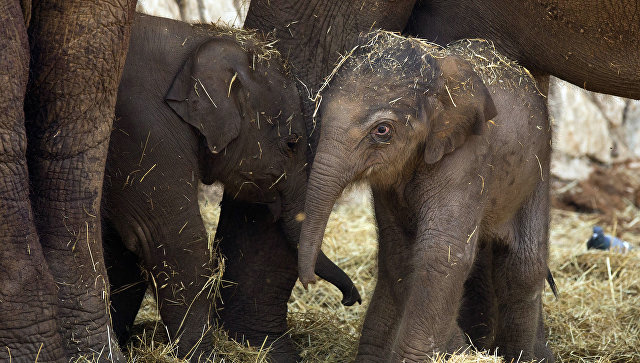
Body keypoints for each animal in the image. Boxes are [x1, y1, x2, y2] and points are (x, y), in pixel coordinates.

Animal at [102, 12, 358, 360]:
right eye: (292, 143)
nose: (352, 300)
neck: (194, 37)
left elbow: (120, 247)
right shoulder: (143, 129)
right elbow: (171, 237)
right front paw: (205, 357)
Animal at [300, 32, 556, 363]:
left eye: (382, 130)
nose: (309, 282)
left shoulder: (467, 158)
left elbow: (441, 254)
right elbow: (400, 252)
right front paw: (456, 349)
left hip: (537, 170)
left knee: (523, 266)